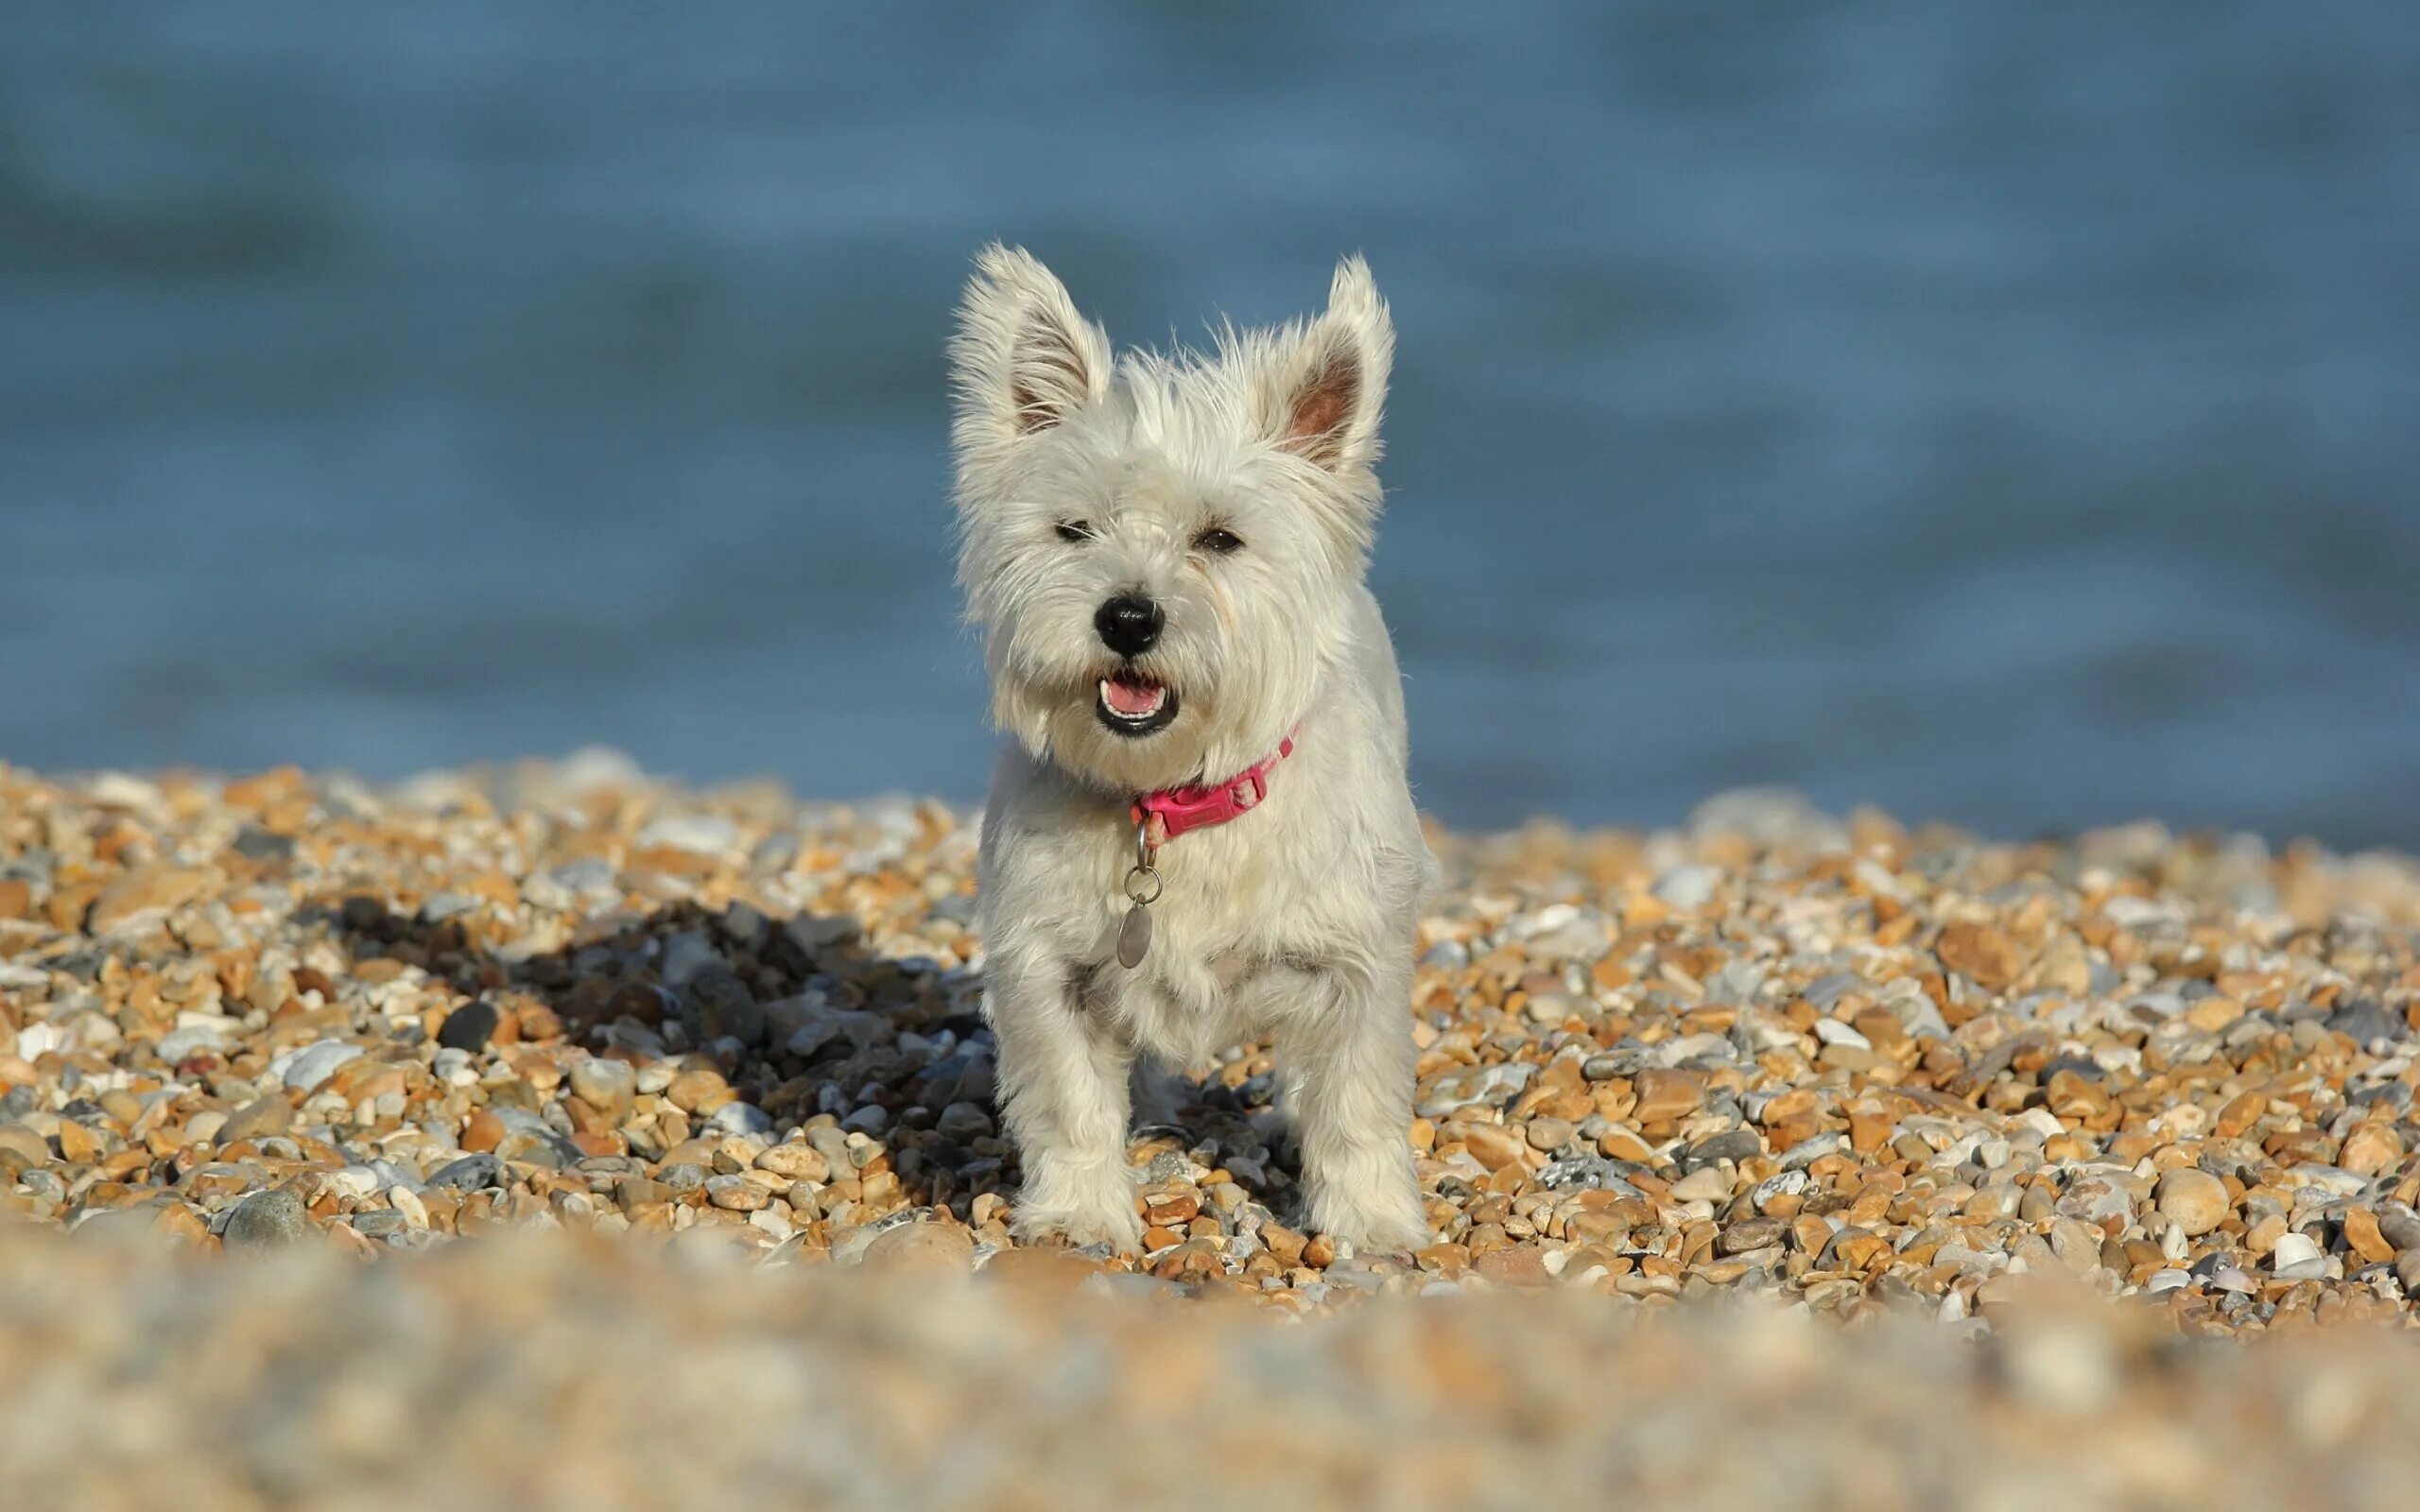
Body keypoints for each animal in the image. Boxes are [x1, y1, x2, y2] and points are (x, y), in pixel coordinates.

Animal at [948, 248, 1432, 1258]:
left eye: (1220, 538)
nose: (1129, 617)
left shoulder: (1353, 963)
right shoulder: (1047, 966)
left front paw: (1373, 1226)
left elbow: (1356, 1103)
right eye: (1074, 529)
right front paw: (1079, 1215)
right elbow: (1069, 1102)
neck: (1173, 802)